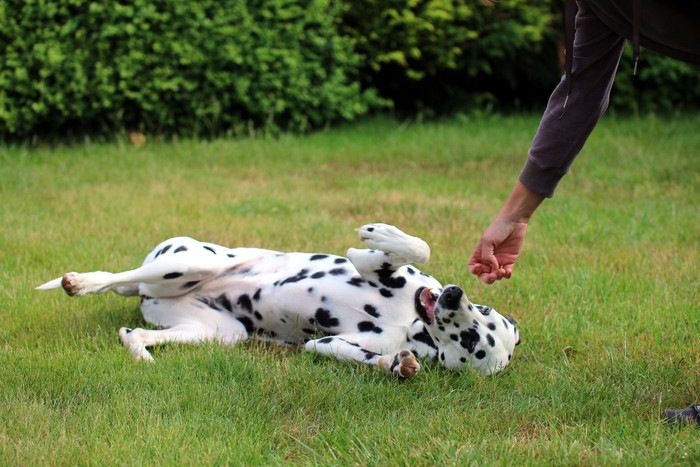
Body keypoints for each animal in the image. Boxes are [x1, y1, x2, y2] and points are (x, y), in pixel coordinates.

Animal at [37, 223, 520, 376]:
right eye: (484, 310)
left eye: (473, 342)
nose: (454, 294)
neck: (412, 321)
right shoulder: (377, 268)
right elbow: (418, 247)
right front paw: (382, 234)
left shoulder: (323, 343)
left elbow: (369, 356)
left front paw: (397, 365)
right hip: (191, 261)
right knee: (114, 279)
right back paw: (81, 282)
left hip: (223, 332)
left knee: (134, 331)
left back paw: (138, 350)